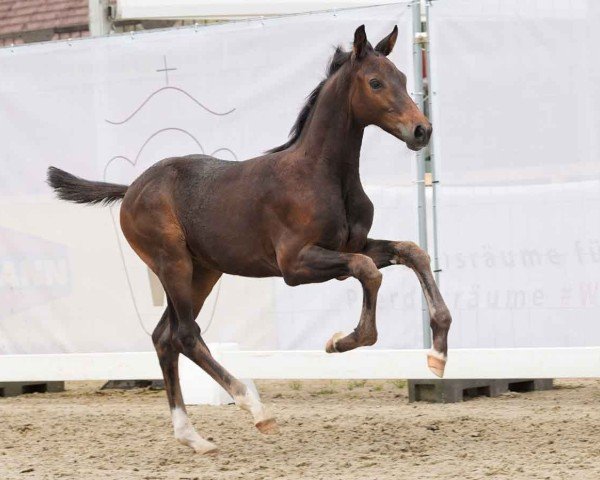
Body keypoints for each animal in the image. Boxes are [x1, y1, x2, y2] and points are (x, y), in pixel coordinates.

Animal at [47, 25, 450, 454]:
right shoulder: (295, 264)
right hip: (172, 263)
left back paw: (192, 436)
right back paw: (254, 408)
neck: (322, 175)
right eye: (375, 82)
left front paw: (438, 353)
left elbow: (412, 252)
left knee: (163, 337)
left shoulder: (351, 245)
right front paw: (341, 341)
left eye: (403, 79)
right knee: (185, 335)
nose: (422, 130)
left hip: (203, 272)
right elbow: (368, 272)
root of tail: (132, 188)